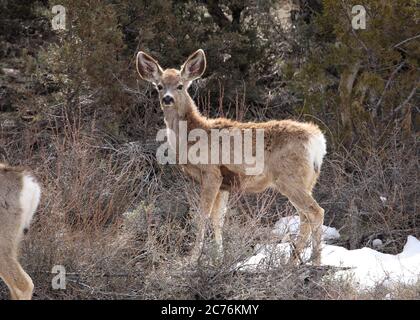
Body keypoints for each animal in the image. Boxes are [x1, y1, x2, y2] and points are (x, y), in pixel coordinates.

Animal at [136, 49, 326, 264]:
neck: (192, 137)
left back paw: (314, 262)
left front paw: (193, 258)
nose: (167, 99)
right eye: (159, 86)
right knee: (305, 217)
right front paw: (219, 257)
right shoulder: (224, 184)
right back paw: (293, 262)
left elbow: (203, 215)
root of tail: (317, 140)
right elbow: (218, 219)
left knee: (315, 212)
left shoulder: (211, 173)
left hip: (290, 178)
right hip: (308, 180)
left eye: (180, 85)